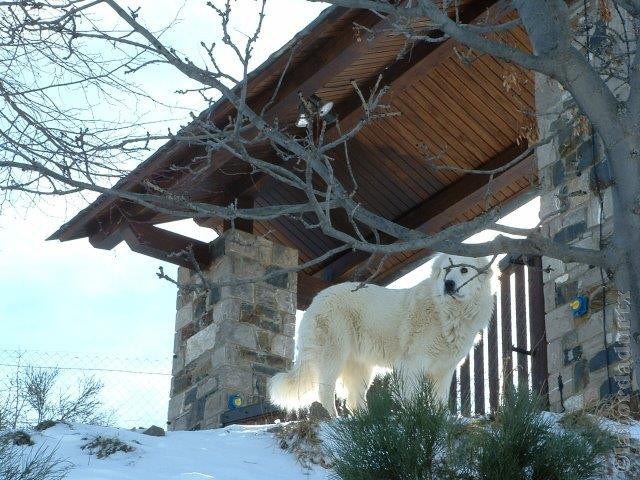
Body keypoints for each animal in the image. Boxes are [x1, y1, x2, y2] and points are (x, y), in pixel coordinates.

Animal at [266, 253, 496, 414]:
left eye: (464, 270)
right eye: (446, 270)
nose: (448, 284)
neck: (449, 313)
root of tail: (318, 298)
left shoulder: (443, 370)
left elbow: (440, 400)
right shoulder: (412, 364)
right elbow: (411, 395)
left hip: (361, 367)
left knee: (354, 400)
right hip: (333, 354)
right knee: (325, 392)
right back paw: (335, 420)